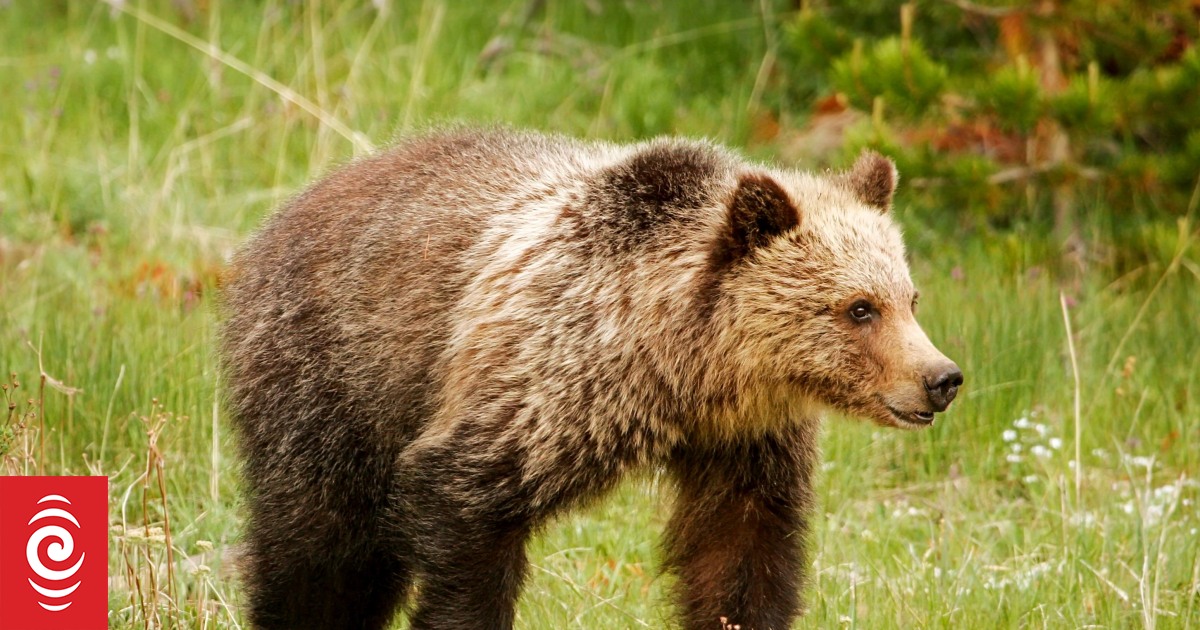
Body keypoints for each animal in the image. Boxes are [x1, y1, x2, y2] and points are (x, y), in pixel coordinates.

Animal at [218, 128, 962, 630]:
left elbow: (740, 555)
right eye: (858, 308)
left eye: (910, 297)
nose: (941, 378)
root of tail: (289, 209)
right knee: (321, 548)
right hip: (337, 377)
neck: (684, 372)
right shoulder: (544, 383)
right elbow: (465, 520)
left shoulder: (746, 442)